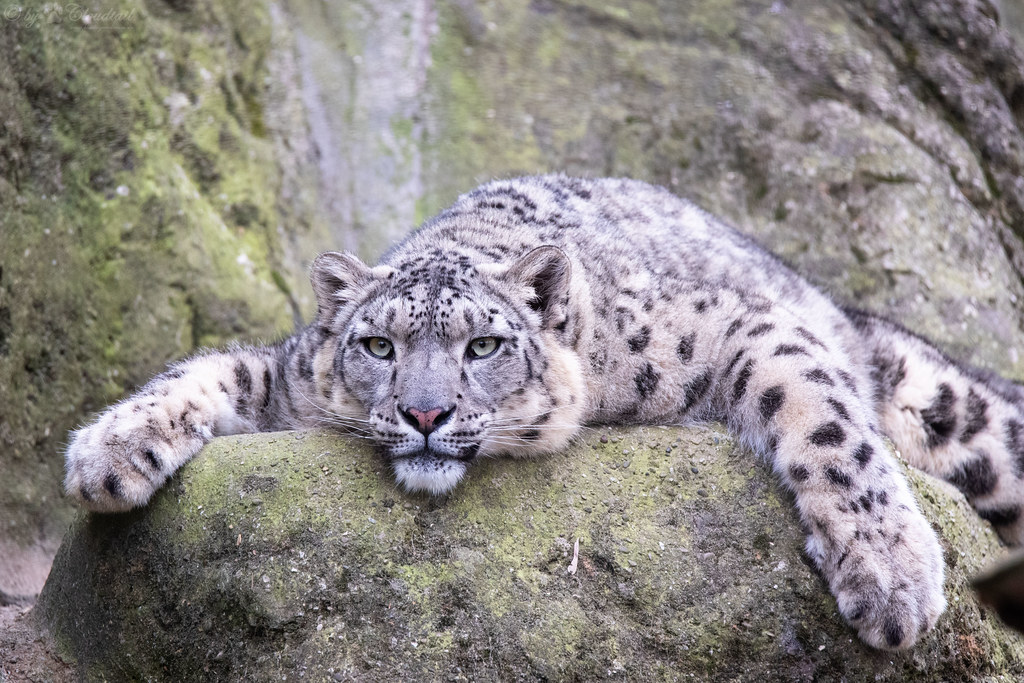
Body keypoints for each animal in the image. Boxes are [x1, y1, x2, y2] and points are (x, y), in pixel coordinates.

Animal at [64, 175, 1024, 651]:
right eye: (377, 344)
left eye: (485, 344)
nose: (423, 412)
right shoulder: (290, 376)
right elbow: (212, 366)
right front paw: (107, 450)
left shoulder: (739, 325)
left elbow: (821, 414)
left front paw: (891, 574)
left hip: (946, 403)